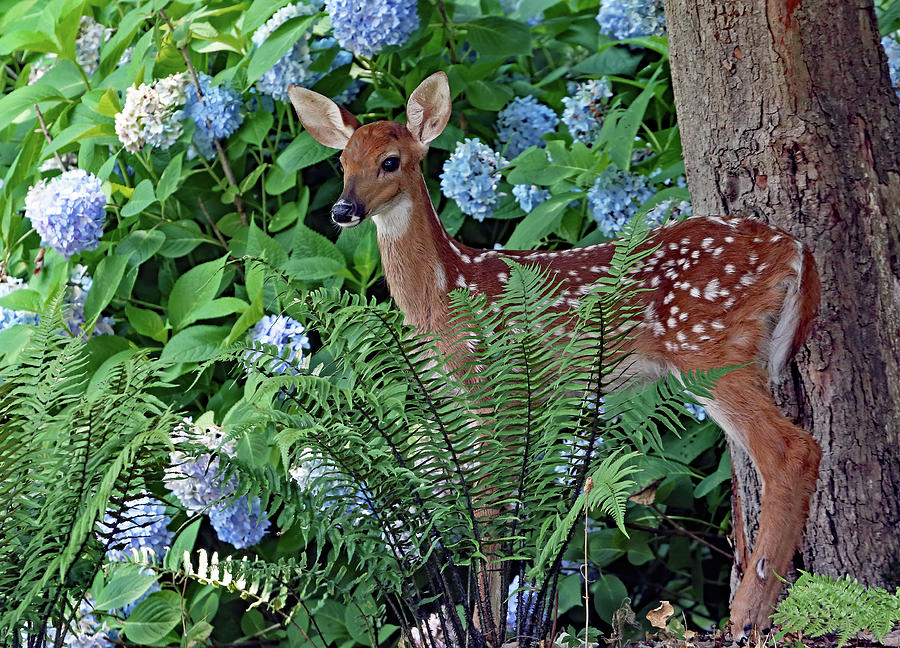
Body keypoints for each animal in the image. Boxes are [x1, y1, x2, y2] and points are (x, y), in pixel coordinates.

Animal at [287, 71, 822, 641]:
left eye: (390, 161)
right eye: (342, 163)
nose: (343, 210)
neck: (443, 293)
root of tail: (795, 250)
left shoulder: (487, 387)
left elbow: (490, 513)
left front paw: (488, 629)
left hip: (709, 346)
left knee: (792, 451)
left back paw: (746, 618)